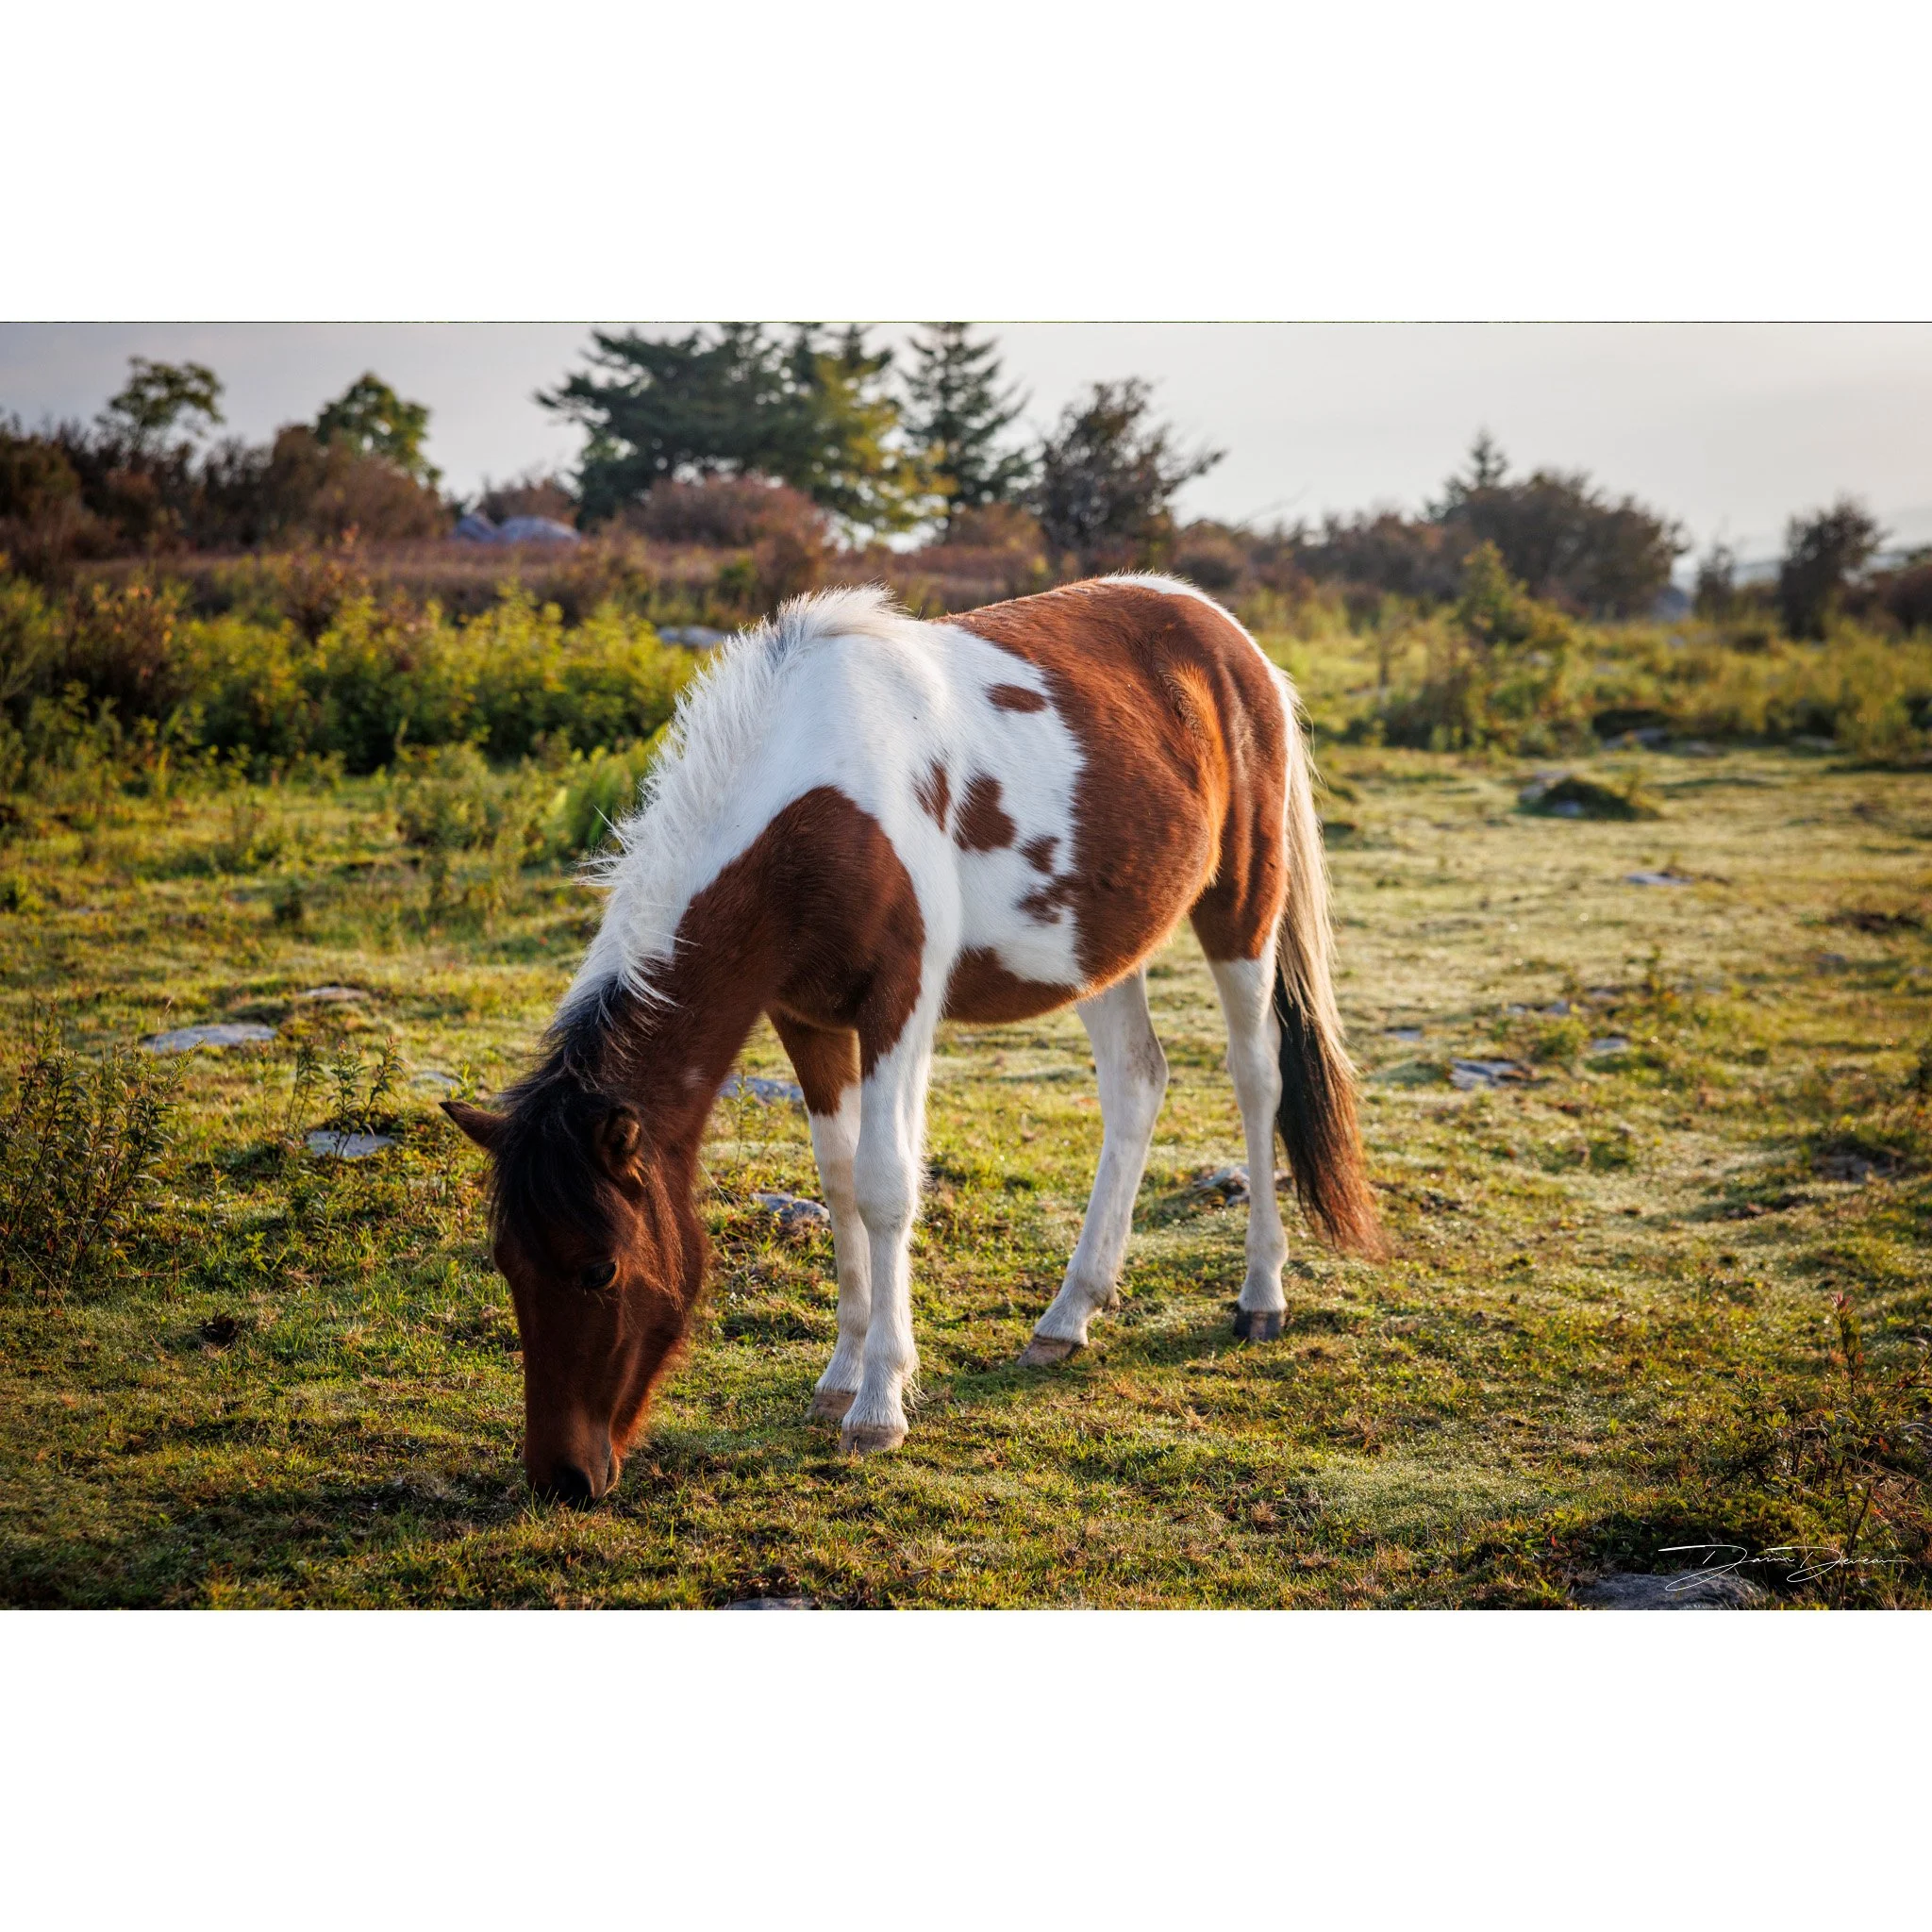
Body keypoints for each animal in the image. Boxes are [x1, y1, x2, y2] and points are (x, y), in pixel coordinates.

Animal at [445, 575, 1382, 1502]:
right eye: (507, 1265)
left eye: (600, 1268)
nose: (562, 1478)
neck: (815, 803)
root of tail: (1224, 632)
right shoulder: (806, 1019)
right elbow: (838, 1184)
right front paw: (840, 1376)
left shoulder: (899, 1006)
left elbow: (886, 1186)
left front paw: (880, 1406)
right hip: (1098, 948)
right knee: (1136, 1084)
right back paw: (1070, 1314)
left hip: (1242, 909)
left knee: (1258, 1078)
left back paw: (1261, 1295)